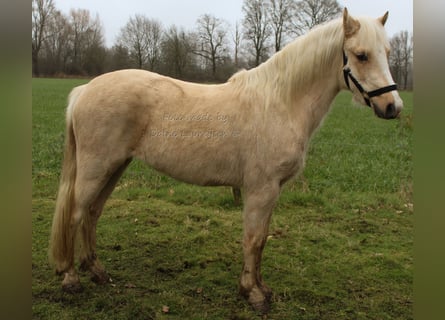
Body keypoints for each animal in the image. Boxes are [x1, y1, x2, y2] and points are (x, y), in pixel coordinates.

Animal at [49, 8, 402, 312]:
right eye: (361, 55)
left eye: (386, 52)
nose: (392, 107)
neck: (280, 103)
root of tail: (84, 90)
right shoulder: (261, 189)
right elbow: (253, 239)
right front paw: (253, 294)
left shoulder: (272, 191)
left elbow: (262, 240)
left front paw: (261, 288)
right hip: (96, 168)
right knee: (76, 215)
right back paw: (71, 278)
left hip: (115, 167)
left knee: (92, 214)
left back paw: (97, 272)